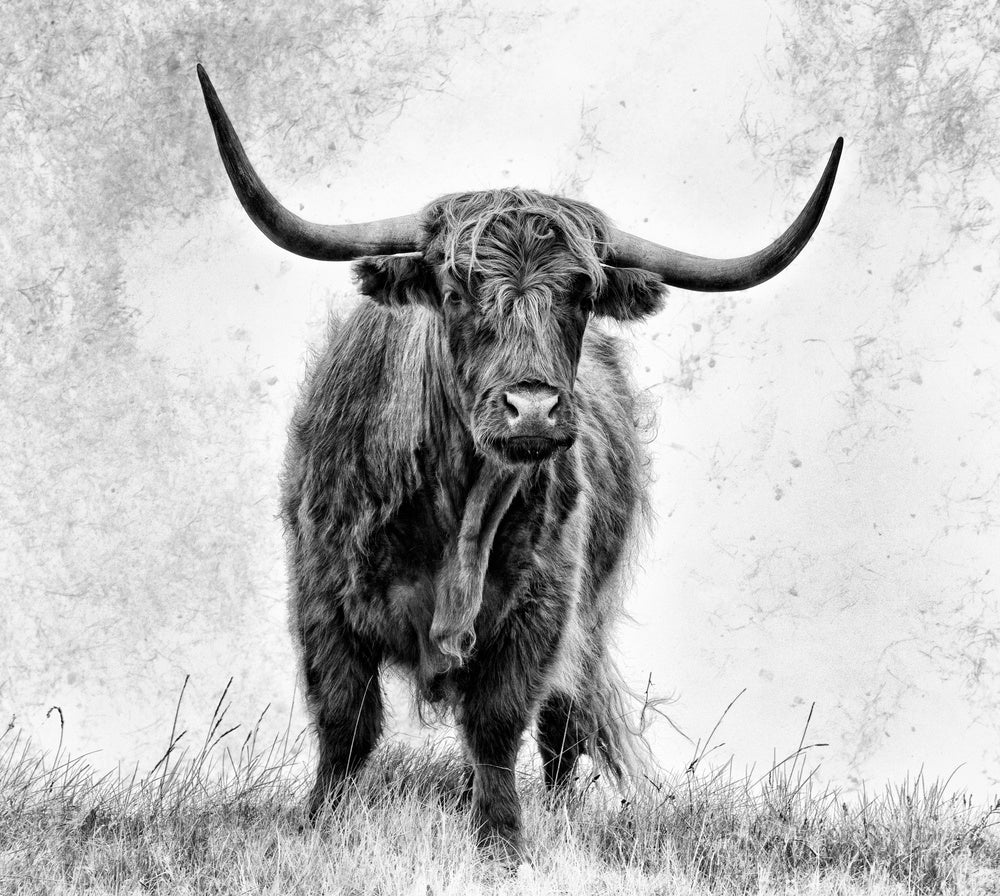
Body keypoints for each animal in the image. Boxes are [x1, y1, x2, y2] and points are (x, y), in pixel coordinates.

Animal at [197, 65, 841, 863]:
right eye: (454, 288)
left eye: (582, 292)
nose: (532, 409)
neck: (460, 517)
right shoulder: (323, 597)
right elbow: (346, 723)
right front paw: (320, 827)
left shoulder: (544, 611)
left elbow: (499, 726)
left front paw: (502, 842)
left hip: (588, 616)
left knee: (564, 730)